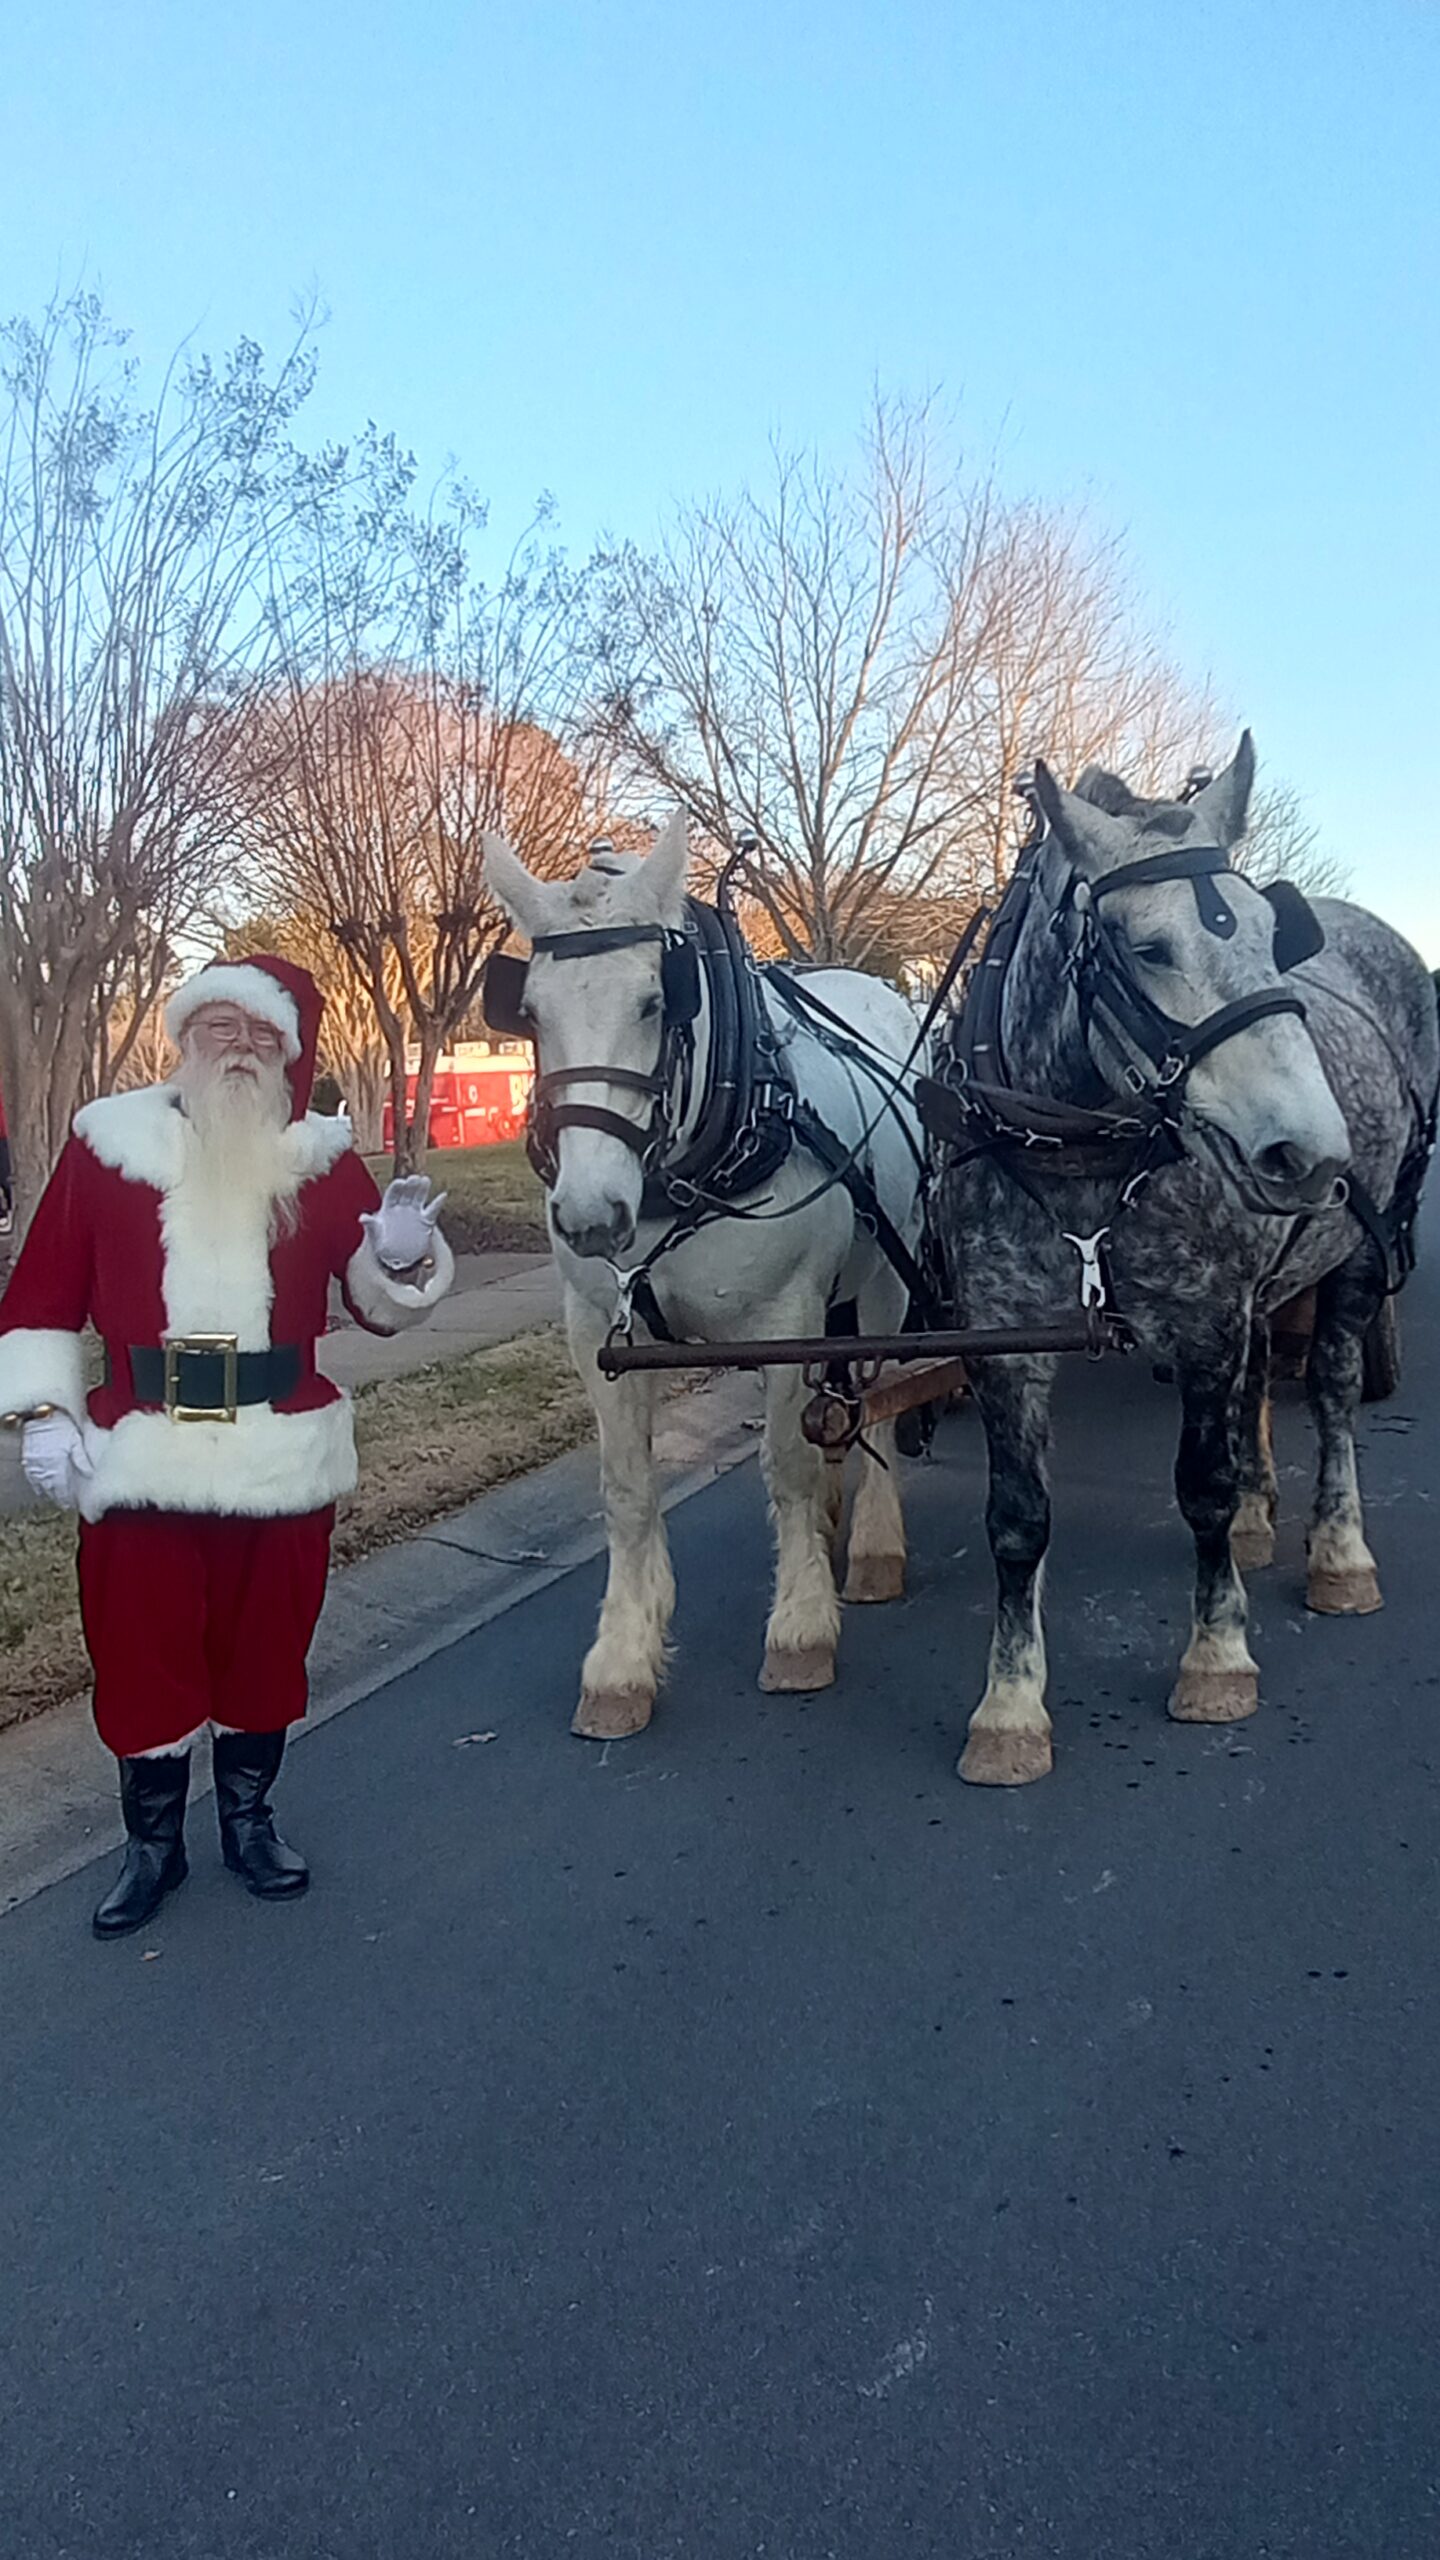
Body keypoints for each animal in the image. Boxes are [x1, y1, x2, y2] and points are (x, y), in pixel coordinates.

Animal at [482, 814, 931, 1737]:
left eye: (655, 1002)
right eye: (531, 1013)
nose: (589, 1213)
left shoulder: (789, 1318)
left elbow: (787, 1467)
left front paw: (800, 1628)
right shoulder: (598, 1334)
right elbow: (626, 1489)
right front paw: (623, 1659)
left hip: (884, 1278)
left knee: (875, 1396)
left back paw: (872, 1542)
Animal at [930, 734, 1439, 1786]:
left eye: (1270, 935)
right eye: (1147, 948)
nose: (1310, 1153)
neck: (1084, 1158)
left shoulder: (1206, 1320)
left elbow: (1200, 1486)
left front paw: (1217, 1654)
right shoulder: (1004, 1335)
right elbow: (1017, 1518)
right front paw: (1010, 1706)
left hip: (1361, 1251)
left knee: (1329, 1387)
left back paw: (1337, 1549)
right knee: (1262, 1375)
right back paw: (1259, 1511)